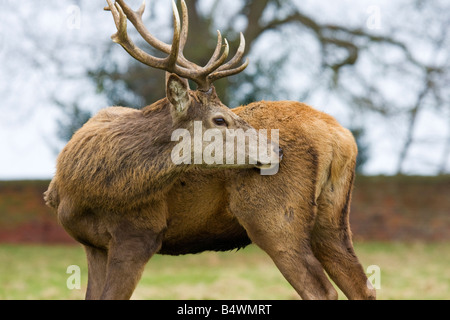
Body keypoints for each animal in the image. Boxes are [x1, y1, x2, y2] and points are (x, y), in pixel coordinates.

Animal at [45, 0, 376, 302]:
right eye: (219, 119)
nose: (276, 150)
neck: (85, 186)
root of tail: (340, 137)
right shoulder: (92, 245)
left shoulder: (139, 233)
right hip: (333, 218)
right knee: (362, 286)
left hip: (274, 218)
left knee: (321, 290)